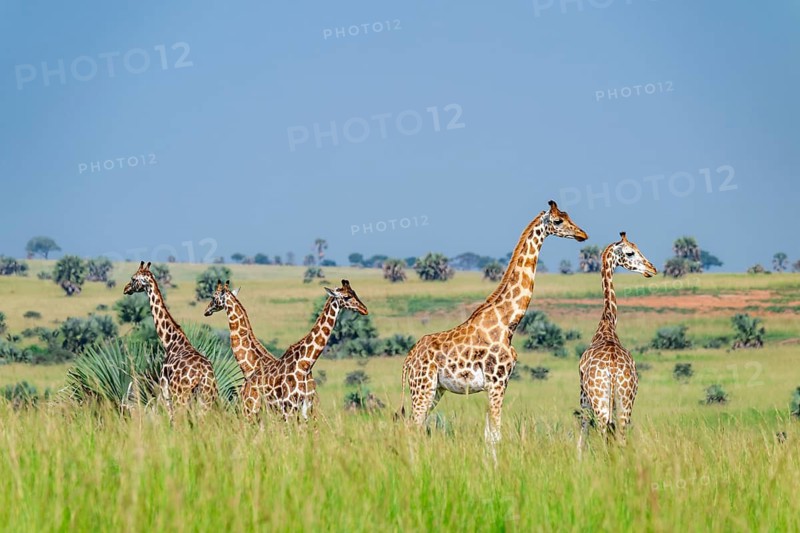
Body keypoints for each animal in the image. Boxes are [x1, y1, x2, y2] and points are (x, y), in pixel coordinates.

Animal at [123, 261, 217, 422]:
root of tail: (203, 374)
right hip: (207, 396)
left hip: (181, 395)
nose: (126, 288)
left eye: (133, 278)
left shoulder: (165, 389)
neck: (169, 341)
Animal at [399, 200, 588, 450]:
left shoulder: (498, 383)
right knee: (412, 427)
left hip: (435, 389)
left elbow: (489, 435)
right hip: (422, 387)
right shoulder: (497, 381)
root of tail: (408, 360)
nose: (582, 234)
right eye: (558, 221)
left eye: (569, 217)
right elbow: (496, 435)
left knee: (417, 426)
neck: (508, 323)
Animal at [577, 232, 656, 453]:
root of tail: (612, 369)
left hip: (602, 402)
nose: (652, 269)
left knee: (604, 432)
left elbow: (583, 433)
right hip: (625, 401)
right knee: (620, 436)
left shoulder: (583, 396)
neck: (607, 324)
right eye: (630, 252)